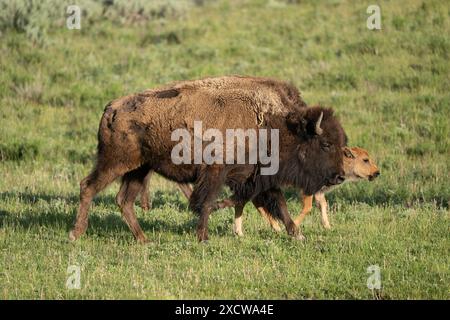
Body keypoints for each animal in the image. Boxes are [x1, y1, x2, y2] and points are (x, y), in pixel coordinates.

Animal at [68, 77, 346, 242]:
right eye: (325, 144)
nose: (339, 176)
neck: (273, 122)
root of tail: (111, 108)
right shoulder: (215, 172)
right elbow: (206, 202)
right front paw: (203, 237)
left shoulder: (257, 177)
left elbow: (279, 203)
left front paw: (296, 233)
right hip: (114, 162)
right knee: (88, 186)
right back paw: (76, 233)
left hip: (139, 169)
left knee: (124, 200)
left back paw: (143, 239)